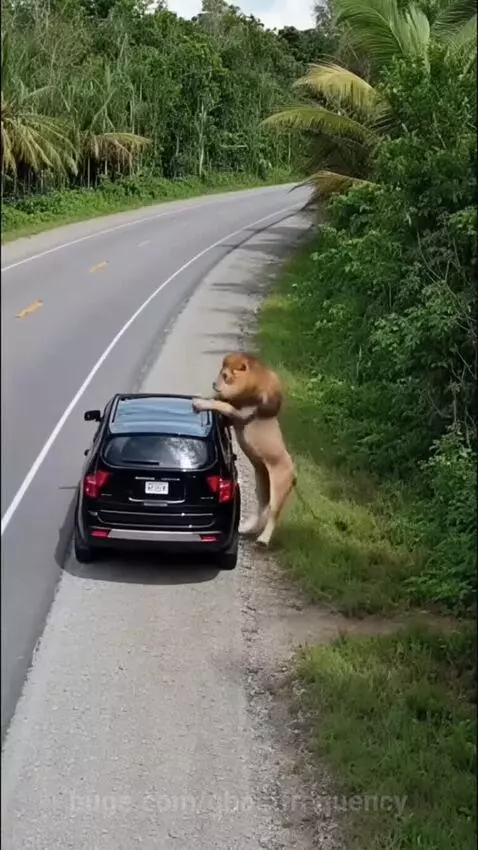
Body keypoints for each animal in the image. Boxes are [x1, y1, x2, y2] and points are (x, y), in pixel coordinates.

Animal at [192, 352, 296, 547]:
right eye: (221, 372)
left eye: (225, 376)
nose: (214, 384)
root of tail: (294, 474)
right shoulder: (233, 419)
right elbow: (220, 402)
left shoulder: (240, 414)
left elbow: (223, 405)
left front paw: (200, 402)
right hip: (262, 481)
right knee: (262, 506)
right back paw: (245, 528)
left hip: (279, 485)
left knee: (273, 513)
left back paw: (263, 539)